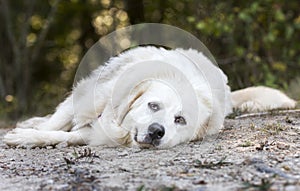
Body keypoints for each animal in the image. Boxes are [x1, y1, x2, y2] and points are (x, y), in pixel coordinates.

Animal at [3, 47, 296, 148]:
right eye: (153, 105)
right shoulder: (89, 96)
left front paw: (26, 138)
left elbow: (65, 134)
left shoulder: (99, 130)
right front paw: (27, 132)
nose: (157, 132)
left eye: (180, 120)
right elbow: (55, 124)